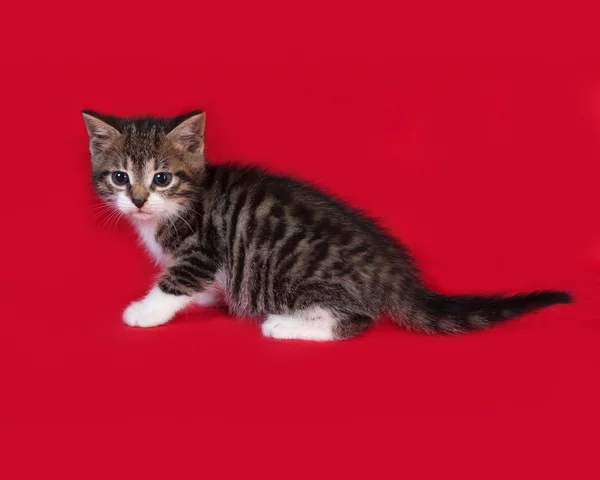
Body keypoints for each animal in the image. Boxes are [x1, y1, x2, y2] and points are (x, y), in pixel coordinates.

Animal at [81, 109, 572, 342]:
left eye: (162, 178)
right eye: (120, 177)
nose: (138, 200)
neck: (181, 203)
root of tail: (394, 272)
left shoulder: (205, 248)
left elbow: (176, 281)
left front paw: (145, 311)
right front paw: (203, 298)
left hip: (297, 275)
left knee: (355, 320)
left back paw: (285, 325)